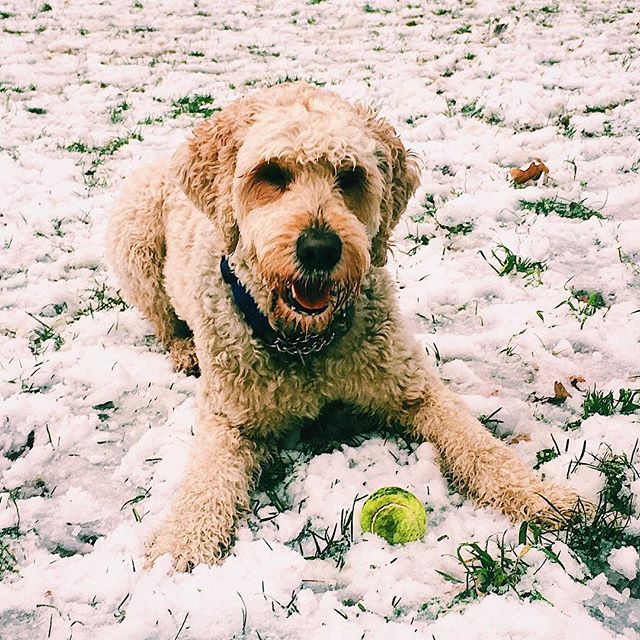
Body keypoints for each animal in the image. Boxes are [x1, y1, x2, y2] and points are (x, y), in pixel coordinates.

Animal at [107, 81, 584, 568]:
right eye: (271, 173)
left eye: (350, 176)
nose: (320, 248)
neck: (303, 344)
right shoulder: (229, 417)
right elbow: (205, 483)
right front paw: (181, 546)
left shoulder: (412, 385)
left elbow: (477, 443)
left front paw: (537, 494)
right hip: (136, 244)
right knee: (163, 318)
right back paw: (184, 348)